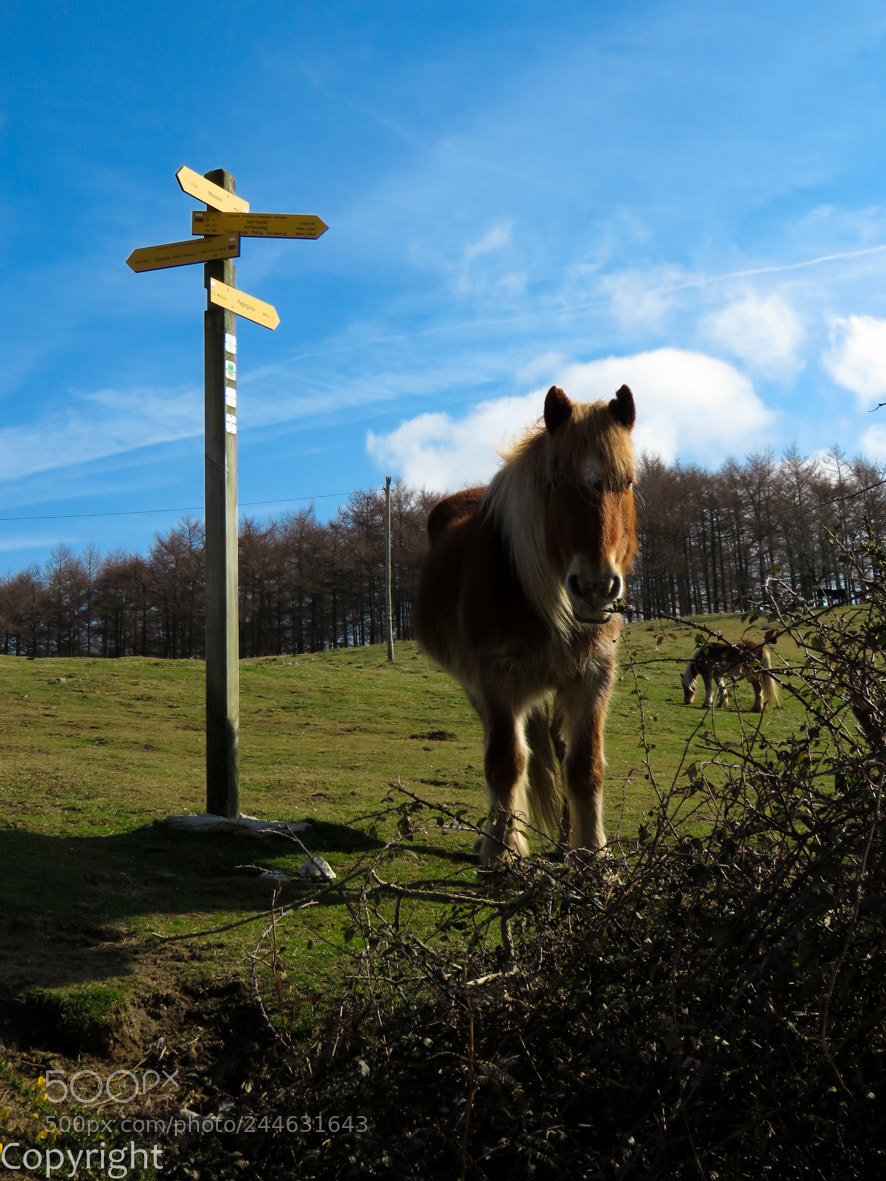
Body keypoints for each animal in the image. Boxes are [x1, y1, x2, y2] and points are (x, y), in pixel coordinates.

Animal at [413, 384, 637, 867]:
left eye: (627, 483)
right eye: (555, 484)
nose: (596, 587)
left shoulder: (593, 677)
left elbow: (584, 765)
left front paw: (592, 855)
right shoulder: (497, 681)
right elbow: (505, 763)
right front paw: (502, 851)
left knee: (557, 747)